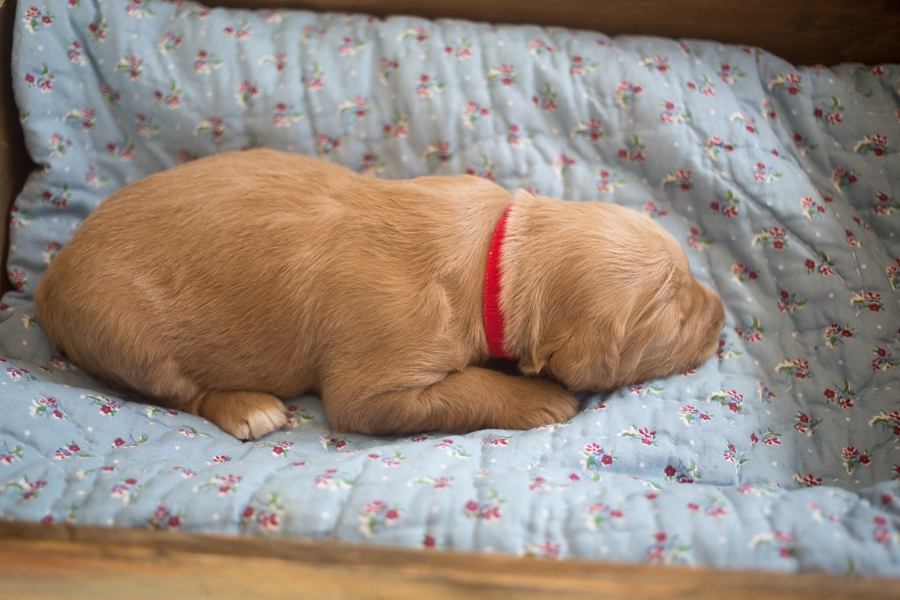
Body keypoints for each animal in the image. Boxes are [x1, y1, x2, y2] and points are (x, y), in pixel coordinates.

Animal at [37, 149, 724, 440]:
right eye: (668, 308)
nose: (722, 316)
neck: (495, 258)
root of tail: (48, 275)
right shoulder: (380, 382)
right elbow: (463, 390)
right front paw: (540, 399)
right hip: (122, 332)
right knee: (182, 390)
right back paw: (248, 408)